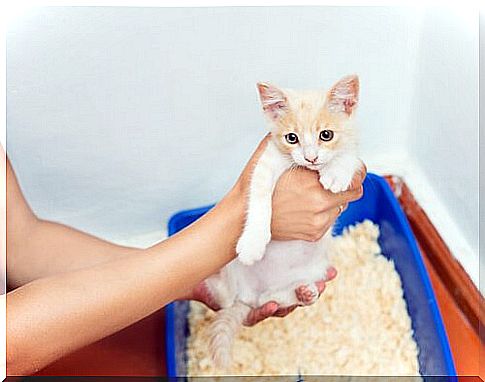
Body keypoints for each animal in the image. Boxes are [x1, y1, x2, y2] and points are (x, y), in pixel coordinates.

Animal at [203, 74, 360, 368]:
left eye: (326, 135)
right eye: (292, 138)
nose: (311, 157)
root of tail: (249, 296)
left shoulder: (356, 157)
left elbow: (349, 158)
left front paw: (335, 173)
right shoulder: (266, 163)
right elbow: (259, 194)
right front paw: (254, 241)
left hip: (312, 270)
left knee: (274, 299)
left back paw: (304, 293)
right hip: (230, 267)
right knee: (223, 296)